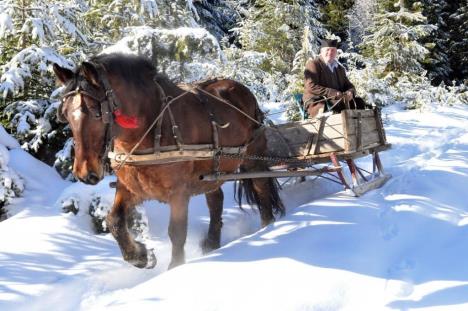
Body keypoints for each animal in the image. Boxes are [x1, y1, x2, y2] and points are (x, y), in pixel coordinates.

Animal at [53, 52, 284, 270]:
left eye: (95, 112)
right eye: (65, 115)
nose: (84, 173)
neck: (151, 127)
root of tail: (238, 86)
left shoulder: (179, 192)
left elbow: (176, 232)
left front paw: (175, 267)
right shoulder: (130, 187)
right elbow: (114, 221)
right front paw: (142, 256)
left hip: (253, 159)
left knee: (261, 188)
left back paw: (267, 226)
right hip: (212, 171)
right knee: (216, 201)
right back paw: (211, 244)